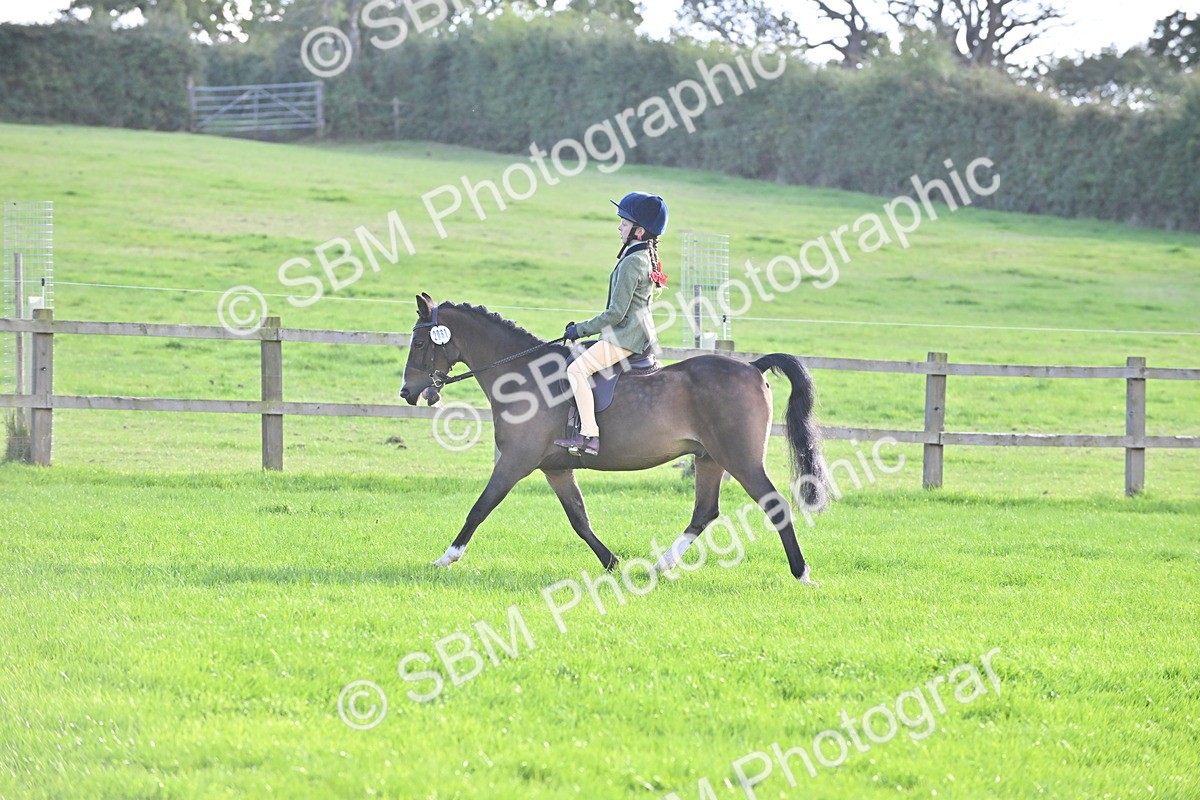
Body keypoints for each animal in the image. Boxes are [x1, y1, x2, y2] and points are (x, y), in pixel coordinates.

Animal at [398, 294, 829, 584]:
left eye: (419, 343)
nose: (407, 392)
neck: (524, 377)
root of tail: (752, 367)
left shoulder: (514, 462)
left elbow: (480, 508)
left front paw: (447, 557)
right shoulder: (555, 469)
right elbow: (579, 519)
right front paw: (612, 563)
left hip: (740, 458)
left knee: (773, 504)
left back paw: (802, 573)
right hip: (709, 459)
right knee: (704, 512)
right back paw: (659, 566)